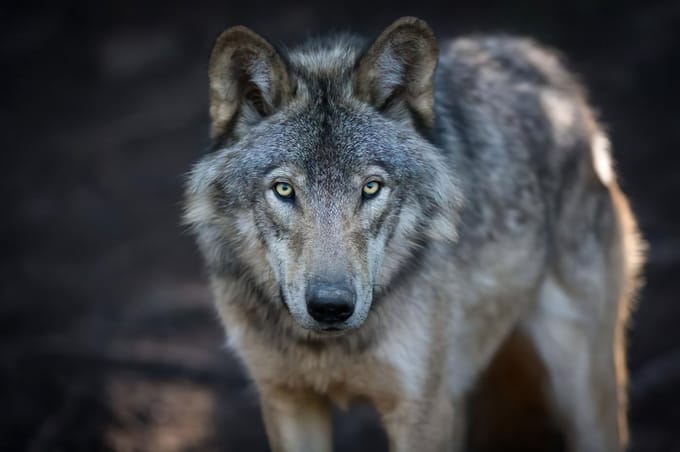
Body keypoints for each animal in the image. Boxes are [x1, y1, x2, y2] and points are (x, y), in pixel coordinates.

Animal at [184, 16, 644, 452]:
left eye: (371, 187)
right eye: (284, 190)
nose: (331, 307)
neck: (328, 349)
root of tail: (542, 61)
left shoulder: (420, 411)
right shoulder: (288, 401)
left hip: (581, 389)